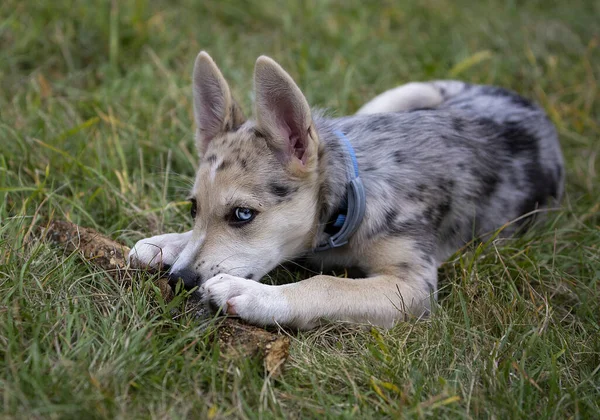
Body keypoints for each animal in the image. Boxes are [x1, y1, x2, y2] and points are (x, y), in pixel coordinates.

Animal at [126, 51, 564, 328]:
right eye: (193, 208)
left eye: (243, 215)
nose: (179, 281)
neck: (352, 198)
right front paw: (167, 243)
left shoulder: (413, 286)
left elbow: (327, 285)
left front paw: (254, 295)